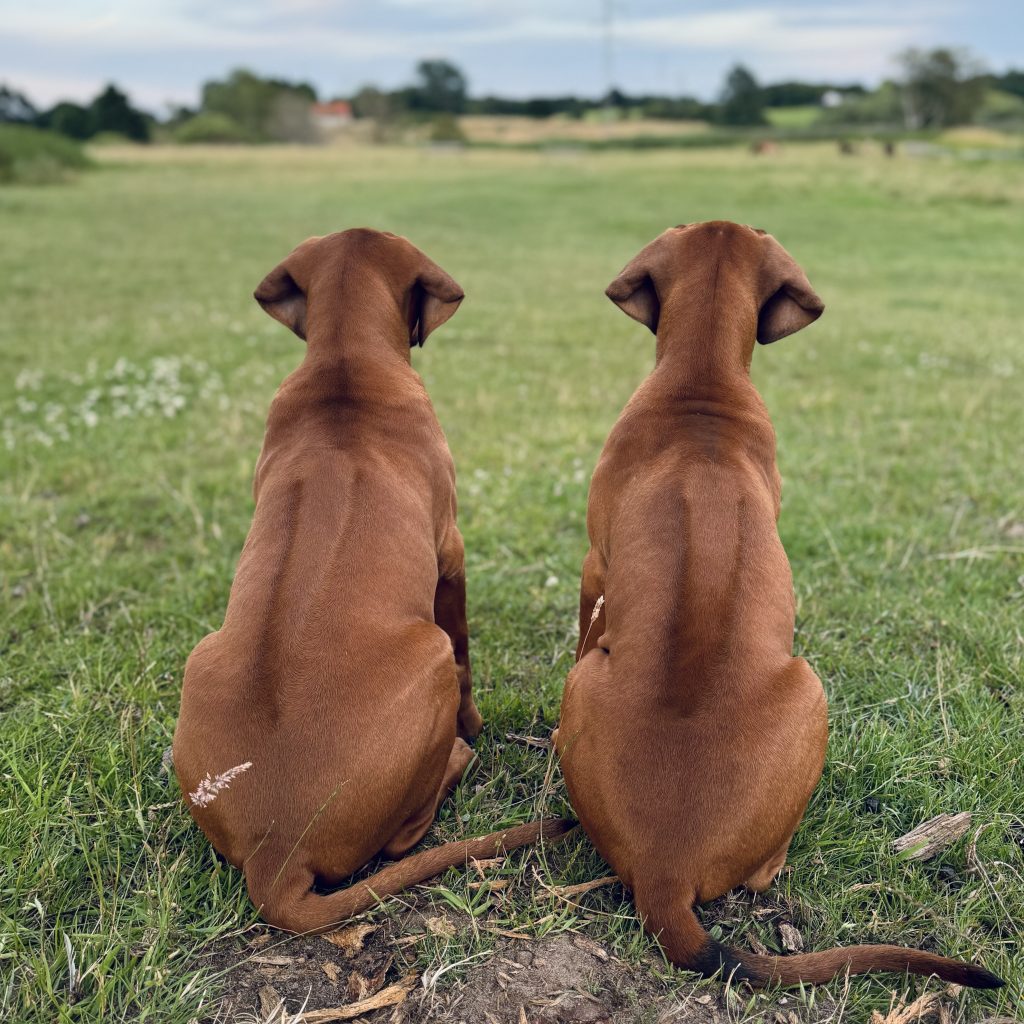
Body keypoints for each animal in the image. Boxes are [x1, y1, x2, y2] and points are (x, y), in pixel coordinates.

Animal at [169, 228, 569, 933]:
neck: (344, 365)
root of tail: (276, 856)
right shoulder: (451, 555)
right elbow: (467, 656)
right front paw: (473, 726)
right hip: (427, 656)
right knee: (405, 837)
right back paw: (457, 759)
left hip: (202, 659)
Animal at [557, 222, 1003, 991]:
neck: (701, 382)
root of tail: (664, 873)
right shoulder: (597, 568)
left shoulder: (595, 567)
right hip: (801, 688)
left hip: (791, 687)